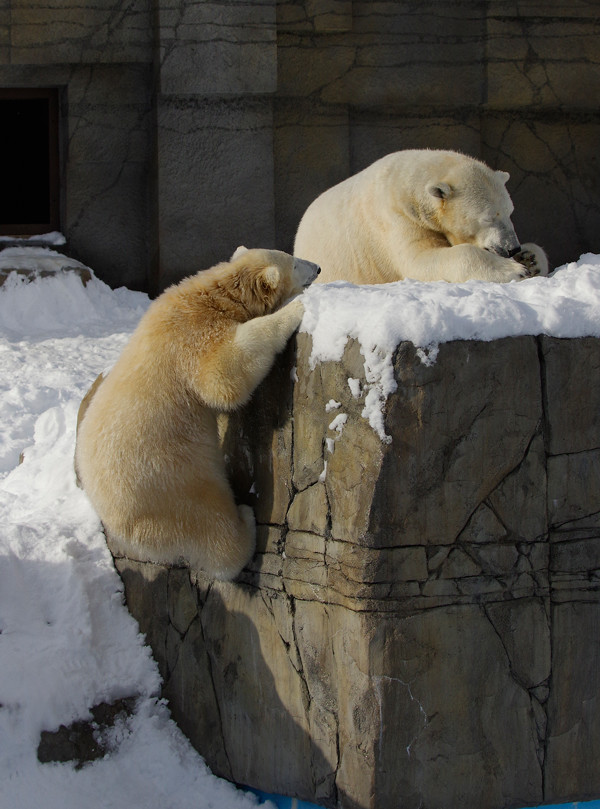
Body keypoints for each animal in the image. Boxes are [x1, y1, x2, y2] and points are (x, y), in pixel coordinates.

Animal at [77, 246, 322, 580]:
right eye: (295, 262)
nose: (319, 268)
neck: (215, 295)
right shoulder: (194, 338)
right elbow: (223, 375)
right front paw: (295, 309)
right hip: (171, 487)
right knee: (213, 527)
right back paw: (244, 521)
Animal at [294, 150, 548, 286]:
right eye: (487, 218)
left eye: (509, 211)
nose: (511, 248)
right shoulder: (396, 217)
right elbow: (420, 260)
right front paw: (515, 270)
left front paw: (531, 259)